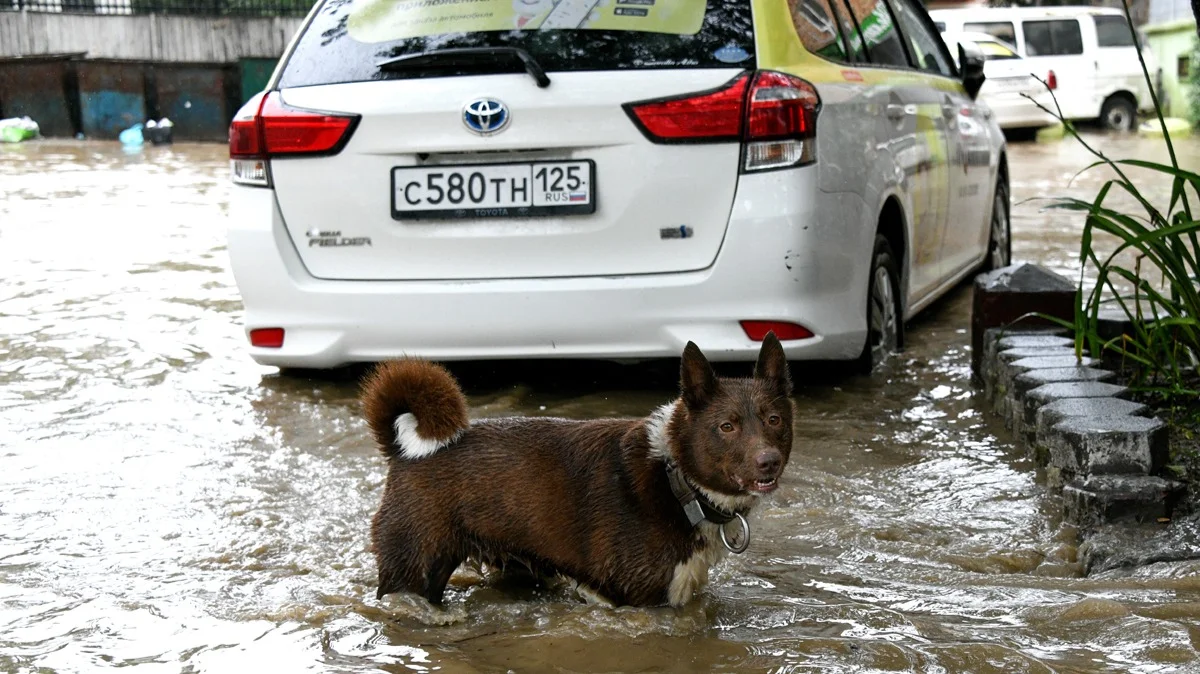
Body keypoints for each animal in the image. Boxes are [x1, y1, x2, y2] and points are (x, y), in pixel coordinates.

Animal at [364, 333, 796, 606]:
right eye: (727, 426)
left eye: (774, 420)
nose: (769, 461)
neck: (675, 479)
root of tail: (402, 451)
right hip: (413, 569)